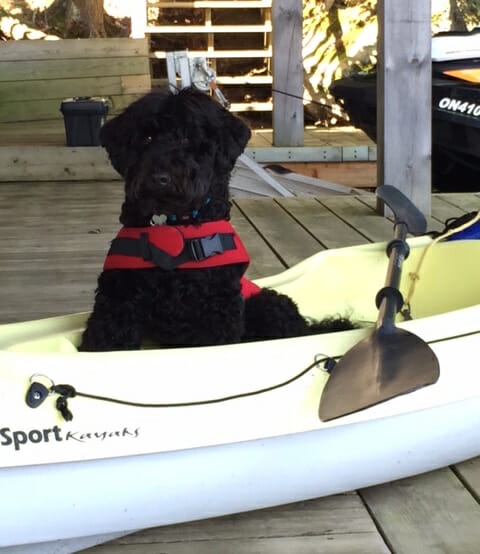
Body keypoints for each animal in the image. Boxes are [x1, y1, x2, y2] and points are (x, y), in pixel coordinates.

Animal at [79, 89, 352, 352]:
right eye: (146, 138)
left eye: (187, 138)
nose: (160, 178)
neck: (172, 226)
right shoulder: (116, 300)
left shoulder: (217, 312)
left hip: (270, 304)